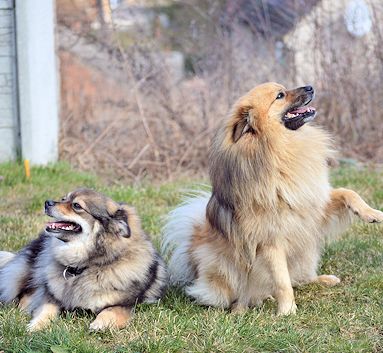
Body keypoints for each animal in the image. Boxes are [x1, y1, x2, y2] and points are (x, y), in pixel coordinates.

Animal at [0, 188, 168, 332]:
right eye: (64, 198)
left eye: (76, 205)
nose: (47, 202)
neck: (87, 266)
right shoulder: (52, 296)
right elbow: (45, 310)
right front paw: (35, 325)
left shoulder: (126, 304)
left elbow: (112, 310)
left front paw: (100, 324)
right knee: (26, 293)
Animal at [163, 82, 383, 314]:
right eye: (280, 96)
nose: (310, 87)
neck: (280, 146)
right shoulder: (270, 242)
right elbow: (282, 281)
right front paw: (287, 311)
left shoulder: (314, 205)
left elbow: (347, 192)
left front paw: (372, 213)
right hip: (220, 265)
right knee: (237, 293)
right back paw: (244, 306)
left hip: (306, 251)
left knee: (300, 277)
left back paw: (321, 279)